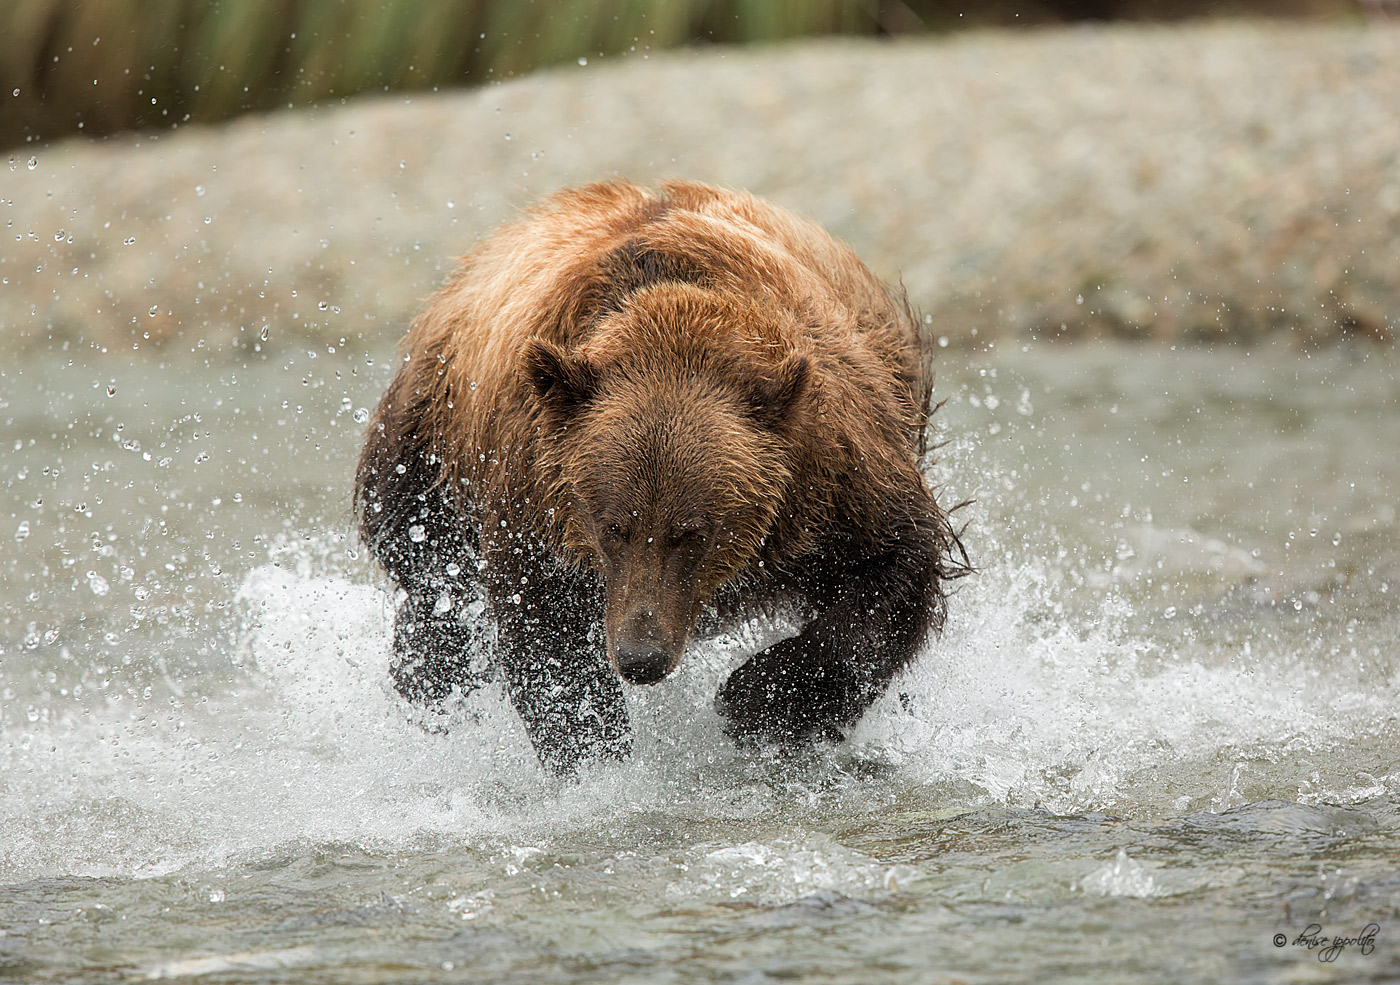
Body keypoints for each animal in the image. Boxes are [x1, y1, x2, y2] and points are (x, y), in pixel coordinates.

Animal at [354, 179, 969, 775]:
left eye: (691, 531)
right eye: (613, 526)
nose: (640, 656)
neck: (670, 329)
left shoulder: (830, 471)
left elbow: (891, 572)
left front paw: (758, 701)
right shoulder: (533, 490)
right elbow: (545, 633)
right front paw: (598, 757)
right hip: (429, 438)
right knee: (429, 575)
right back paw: (431, 681)